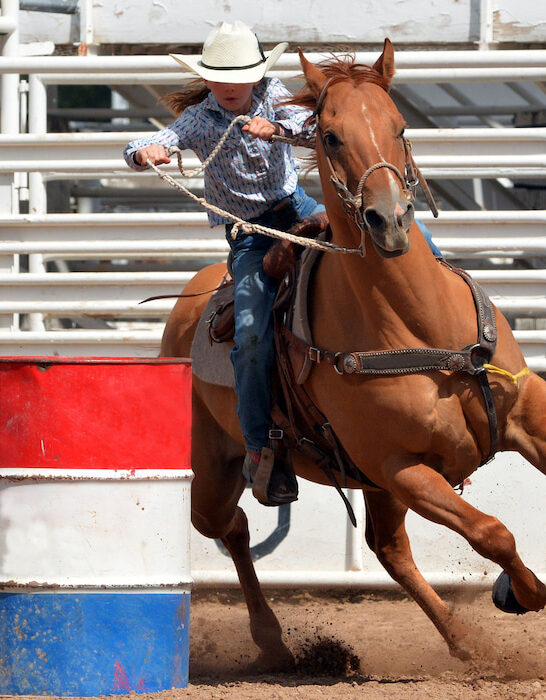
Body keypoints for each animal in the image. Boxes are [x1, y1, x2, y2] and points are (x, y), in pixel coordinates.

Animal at [160, 41, 544, 664]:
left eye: (400, 125)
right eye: (331, 136)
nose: (388, 221)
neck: (418, 327)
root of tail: (192, 298)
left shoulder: (526, 412)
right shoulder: (401, 467)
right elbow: (493, 531)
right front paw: (524, 592)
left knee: (386, 548)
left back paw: (464, 641)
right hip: (214, 469)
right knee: (231, 526)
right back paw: (273, 641)